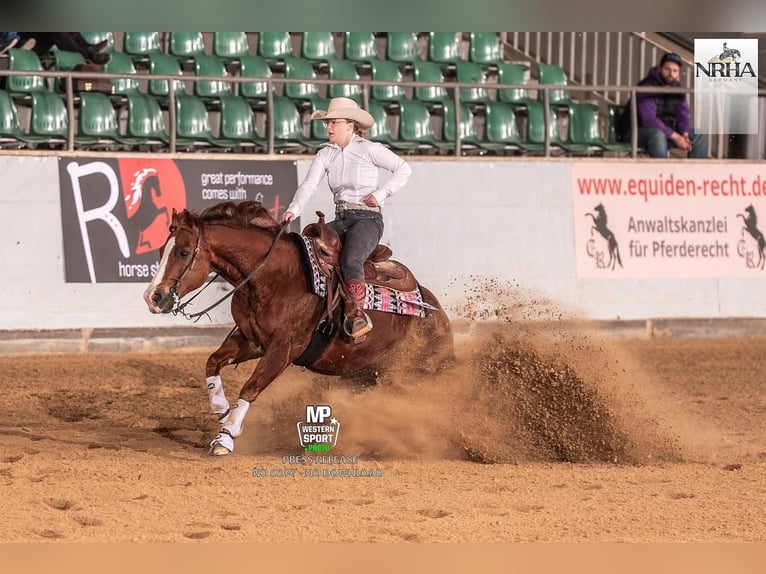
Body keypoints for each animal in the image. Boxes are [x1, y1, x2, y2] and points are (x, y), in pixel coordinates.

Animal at [143, 201, 454, 455]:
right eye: (160, 250)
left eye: (183, 252)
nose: (153, 297)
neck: (275, 277)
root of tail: (437, 314)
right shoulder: (252, 340)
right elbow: (212, 362)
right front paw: (221, 409)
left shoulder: (284, 349)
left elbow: (251, 387)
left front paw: (226, 436)